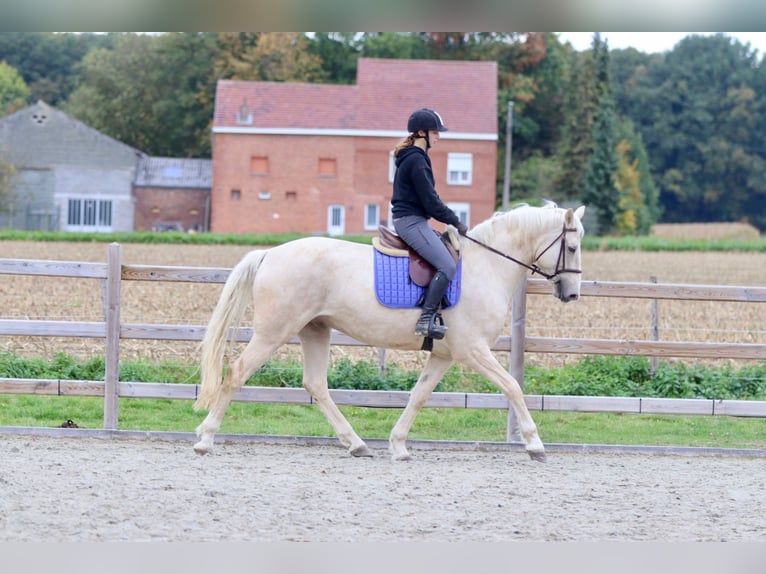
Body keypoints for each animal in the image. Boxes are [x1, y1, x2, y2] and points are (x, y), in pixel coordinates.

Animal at [193, 203, 586, 462]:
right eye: (572, 246)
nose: (572, 294)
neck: (486, 266)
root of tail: (270, 254)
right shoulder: (473, 350)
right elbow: (512, 387)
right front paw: (535, 444)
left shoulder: (444, 355)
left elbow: (419, 395)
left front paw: (398, 445)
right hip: (274, 331)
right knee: (237, 373)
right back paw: (205, 439)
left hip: (314, 330)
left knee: (316, 385)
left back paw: (356, 443)